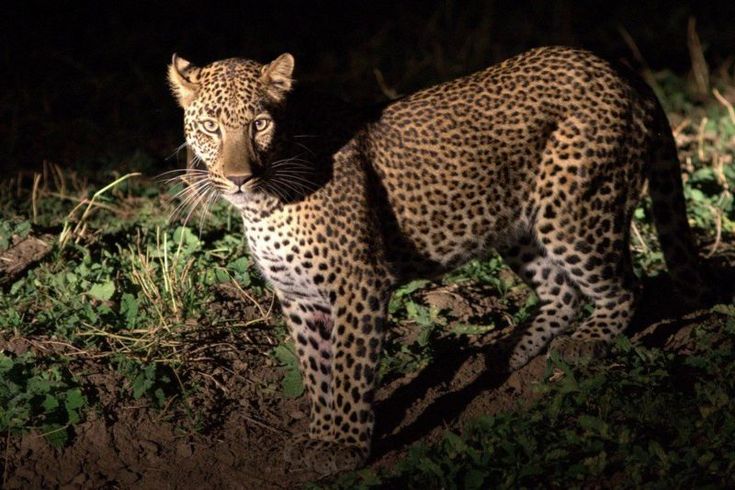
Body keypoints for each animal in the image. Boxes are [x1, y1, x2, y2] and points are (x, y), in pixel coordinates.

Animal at [167, 46, 708, 475]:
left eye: (259, 124)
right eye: (211, 126)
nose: (238, 178)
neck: (264, 206)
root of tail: (616, 67)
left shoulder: (358, 285)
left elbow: (348, 371)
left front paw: (346, 445)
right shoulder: (300, 297)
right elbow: (318, 372)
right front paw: (321, 434)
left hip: (573, 209)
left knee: (624, 287)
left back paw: (587, 342)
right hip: (518, 226)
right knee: (563, 293)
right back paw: (509, 353)